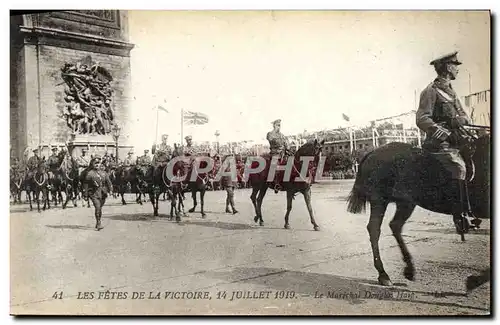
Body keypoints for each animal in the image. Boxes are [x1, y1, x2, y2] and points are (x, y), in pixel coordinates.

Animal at [346, 133, 490, 284]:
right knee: (375, 229)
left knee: (395, 226)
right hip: (379, 200)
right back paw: (383, 274)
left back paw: (408, 269)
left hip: (405, 202)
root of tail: (372, 152)